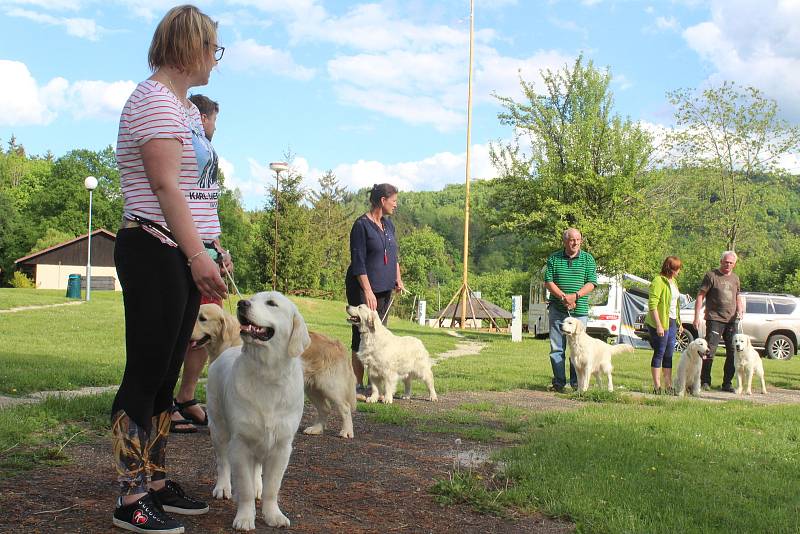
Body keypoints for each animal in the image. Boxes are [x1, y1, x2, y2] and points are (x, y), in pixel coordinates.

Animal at [206, 294, 310, 532]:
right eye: (252, 298)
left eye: (271, 303)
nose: (242, 303)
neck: (267, 373)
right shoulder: (240, 443)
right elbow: (243, 487)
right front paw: (245, 518)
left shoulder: (281, 446)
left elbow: (273, 487)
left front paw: (273, 515)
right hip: (218, 427)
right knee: (222, 461)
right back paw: (223, 487)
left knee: (257, 468)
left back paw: (258, 488)